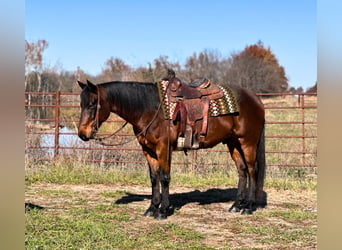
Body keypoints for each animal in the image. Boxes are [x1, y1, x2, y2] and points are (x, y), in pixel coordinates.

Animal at [78, 75, 268, 220]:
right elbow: (153, 178)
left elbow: (164, 177)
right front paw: (151, 208)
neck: (149, 108)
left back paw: (248, 207)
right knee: (242, 170)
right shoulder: (148, 150)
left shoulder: (163, 148)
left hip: (248, 142)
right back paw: (236, 205)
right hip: (233, 143)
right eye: (81, 104)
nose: (82, 134)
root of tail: (256, 99)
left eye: (92, 103)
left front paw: (163, 211)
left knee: (252, 170)